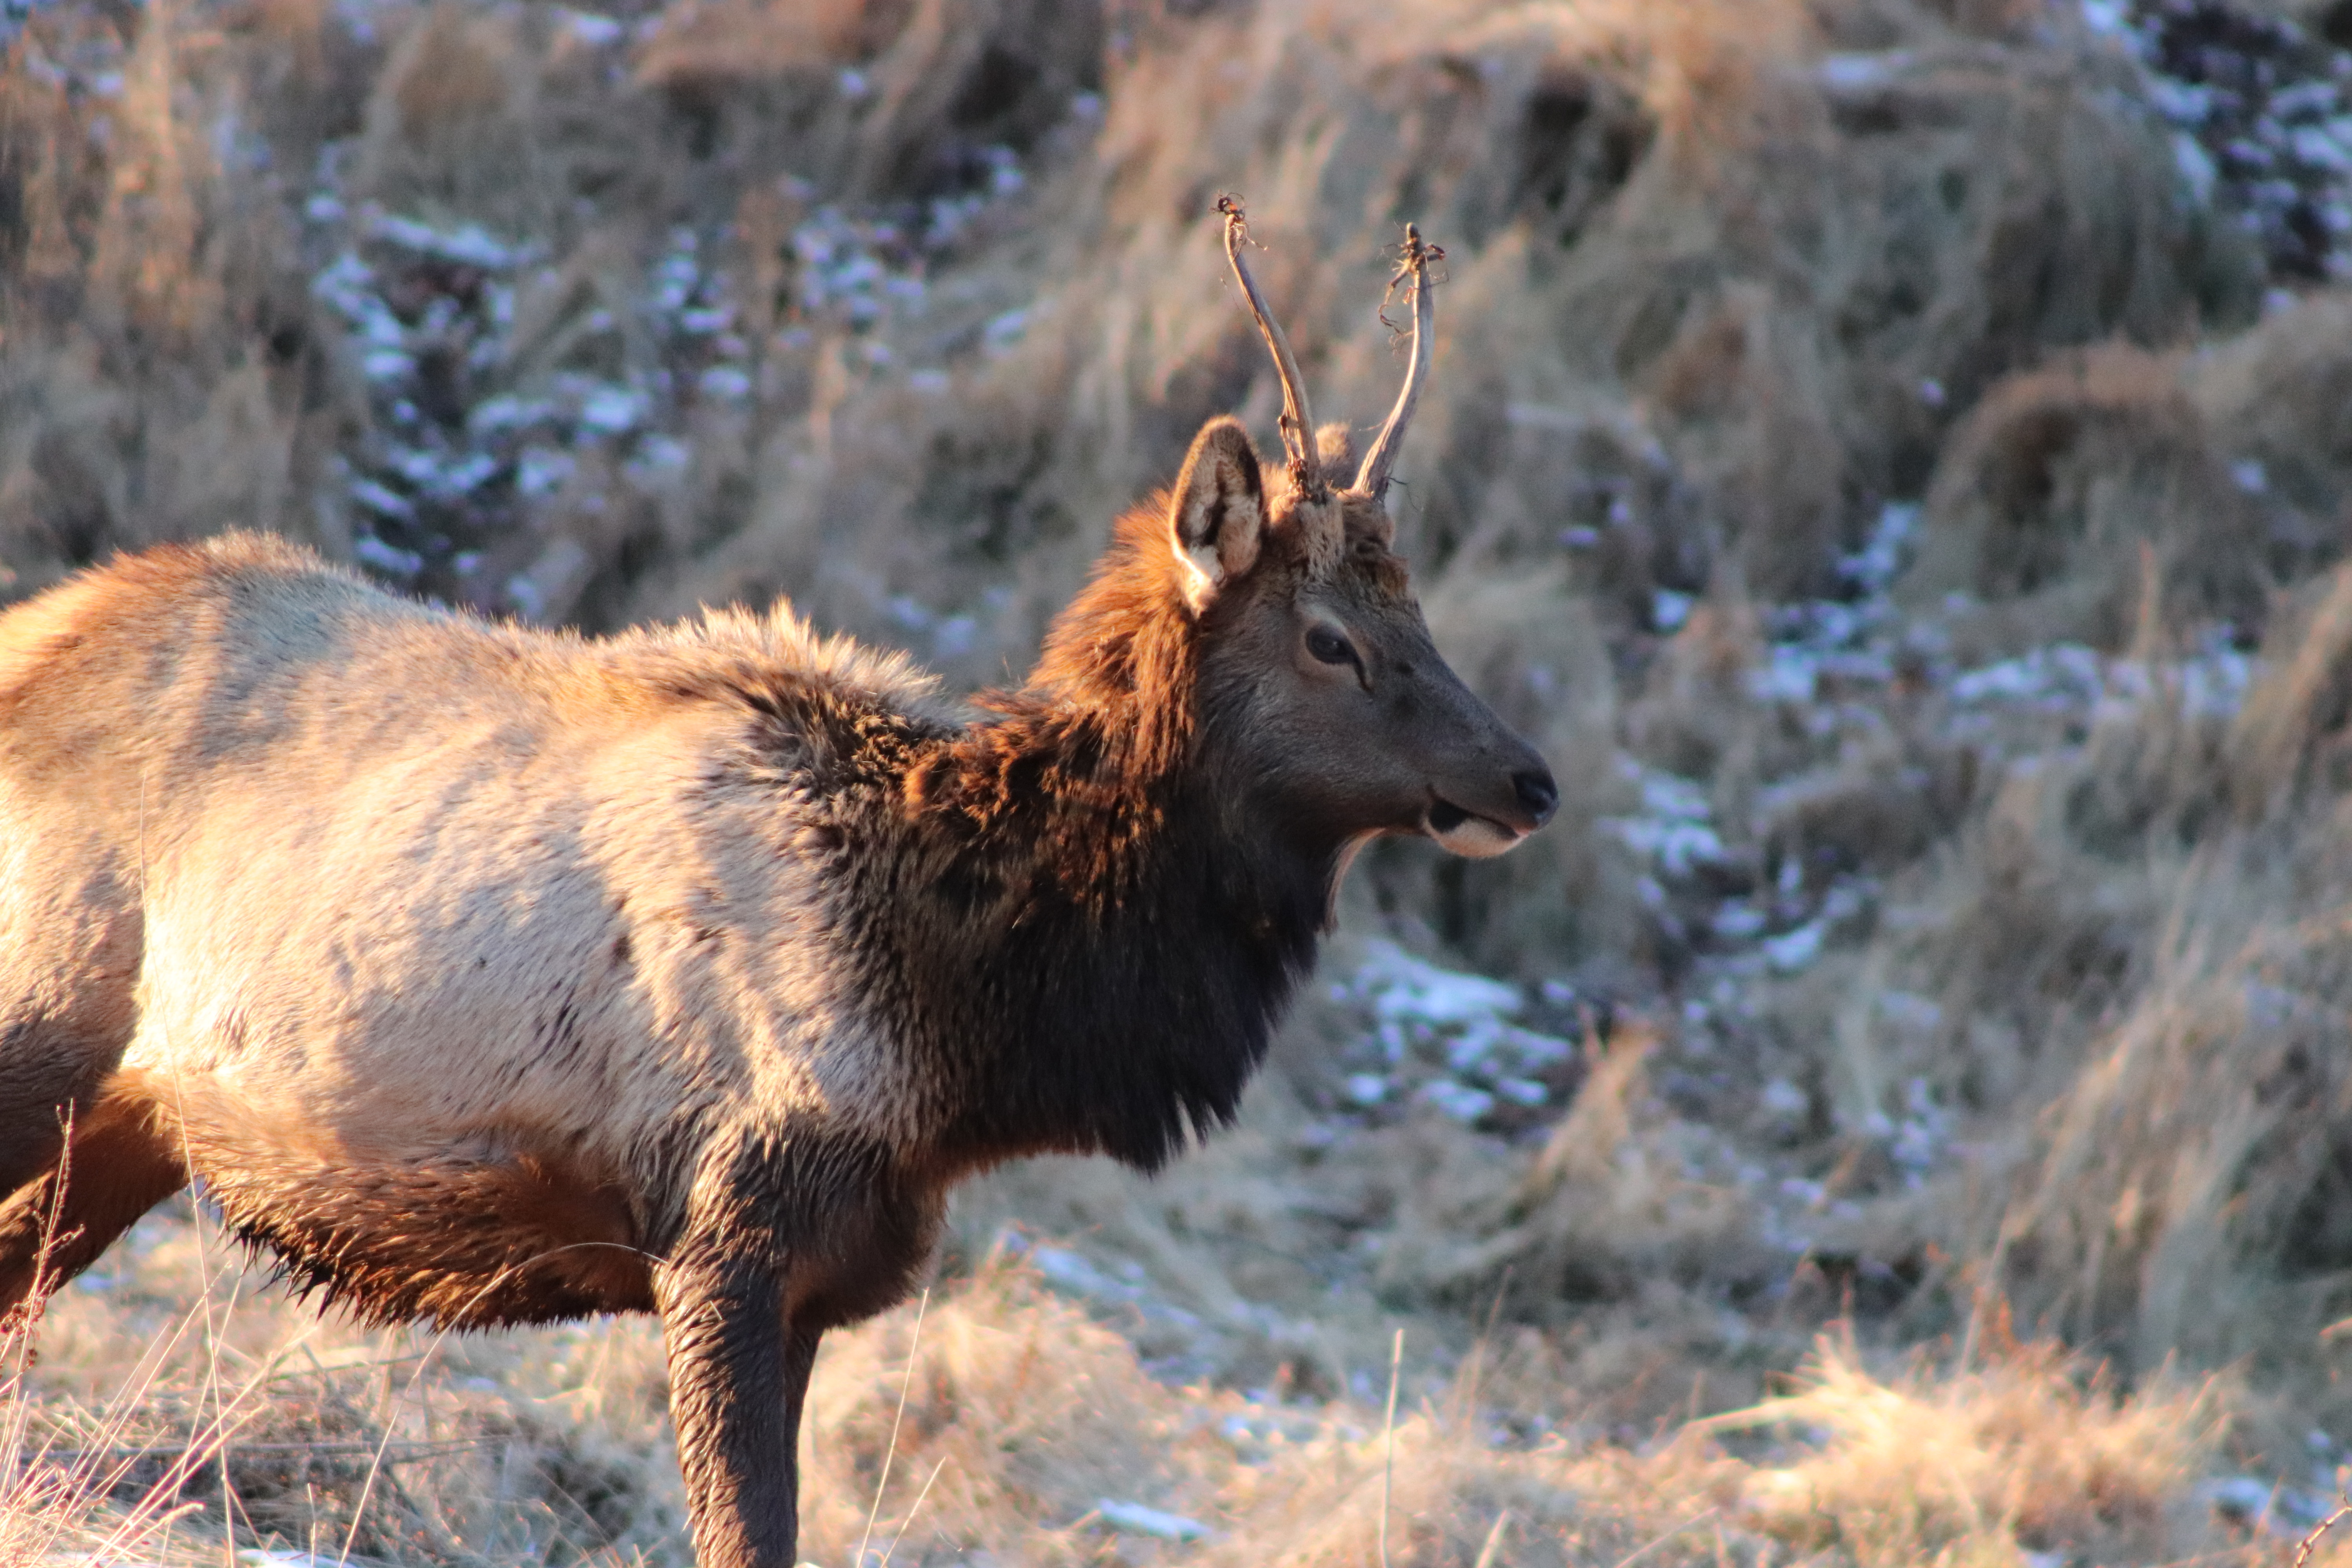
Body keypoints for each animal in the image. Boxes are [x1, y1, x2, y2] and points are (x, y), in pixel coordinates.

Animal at [0, 201, 1556, 1566]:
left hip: (130, 1125)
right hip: (40, 1028)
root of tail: (40, 628)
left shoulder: (828, 1262)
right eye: (1328, 639)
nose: (1529, 777)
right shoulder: (723, 1225)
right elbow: (743, 1531)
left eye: (1415, 609)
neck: (965, 1038)